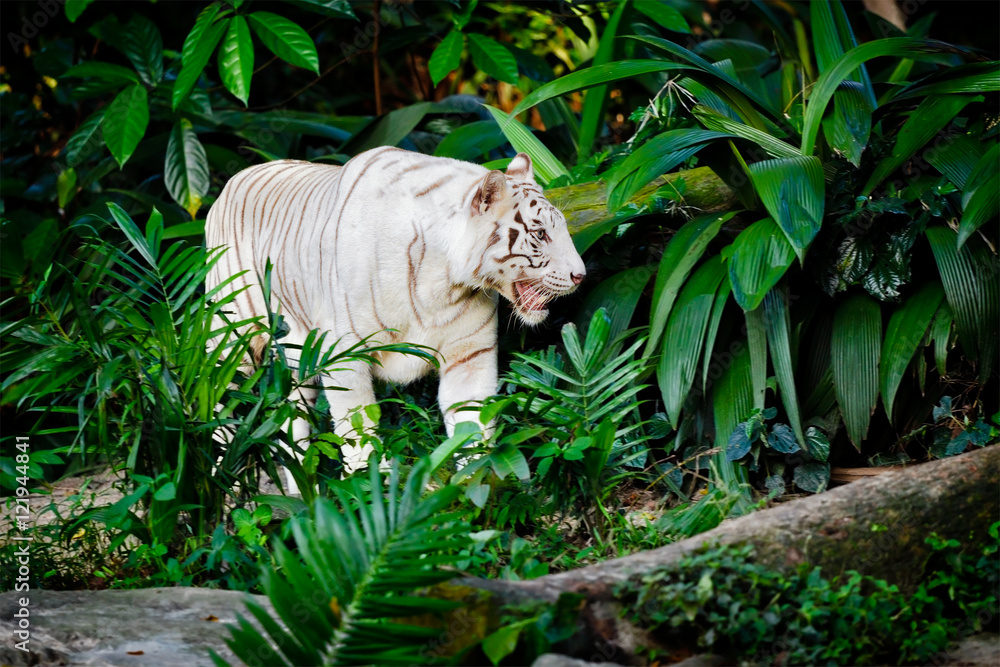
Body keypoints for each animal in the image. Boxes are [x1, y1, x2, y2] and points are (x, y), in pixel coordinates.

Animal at [205, 146, 586, 484]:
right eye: (540, 234)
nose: (580, 275)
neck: (445, 279)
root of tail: (230, 183)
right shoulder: (345, 357)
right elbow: (357, 429)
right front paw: (369, 484)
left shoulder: (469, 355)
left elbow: (471, 422)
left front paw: (476, 483)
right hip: (232, 345)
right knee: (219, 410)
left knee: (292, 432)